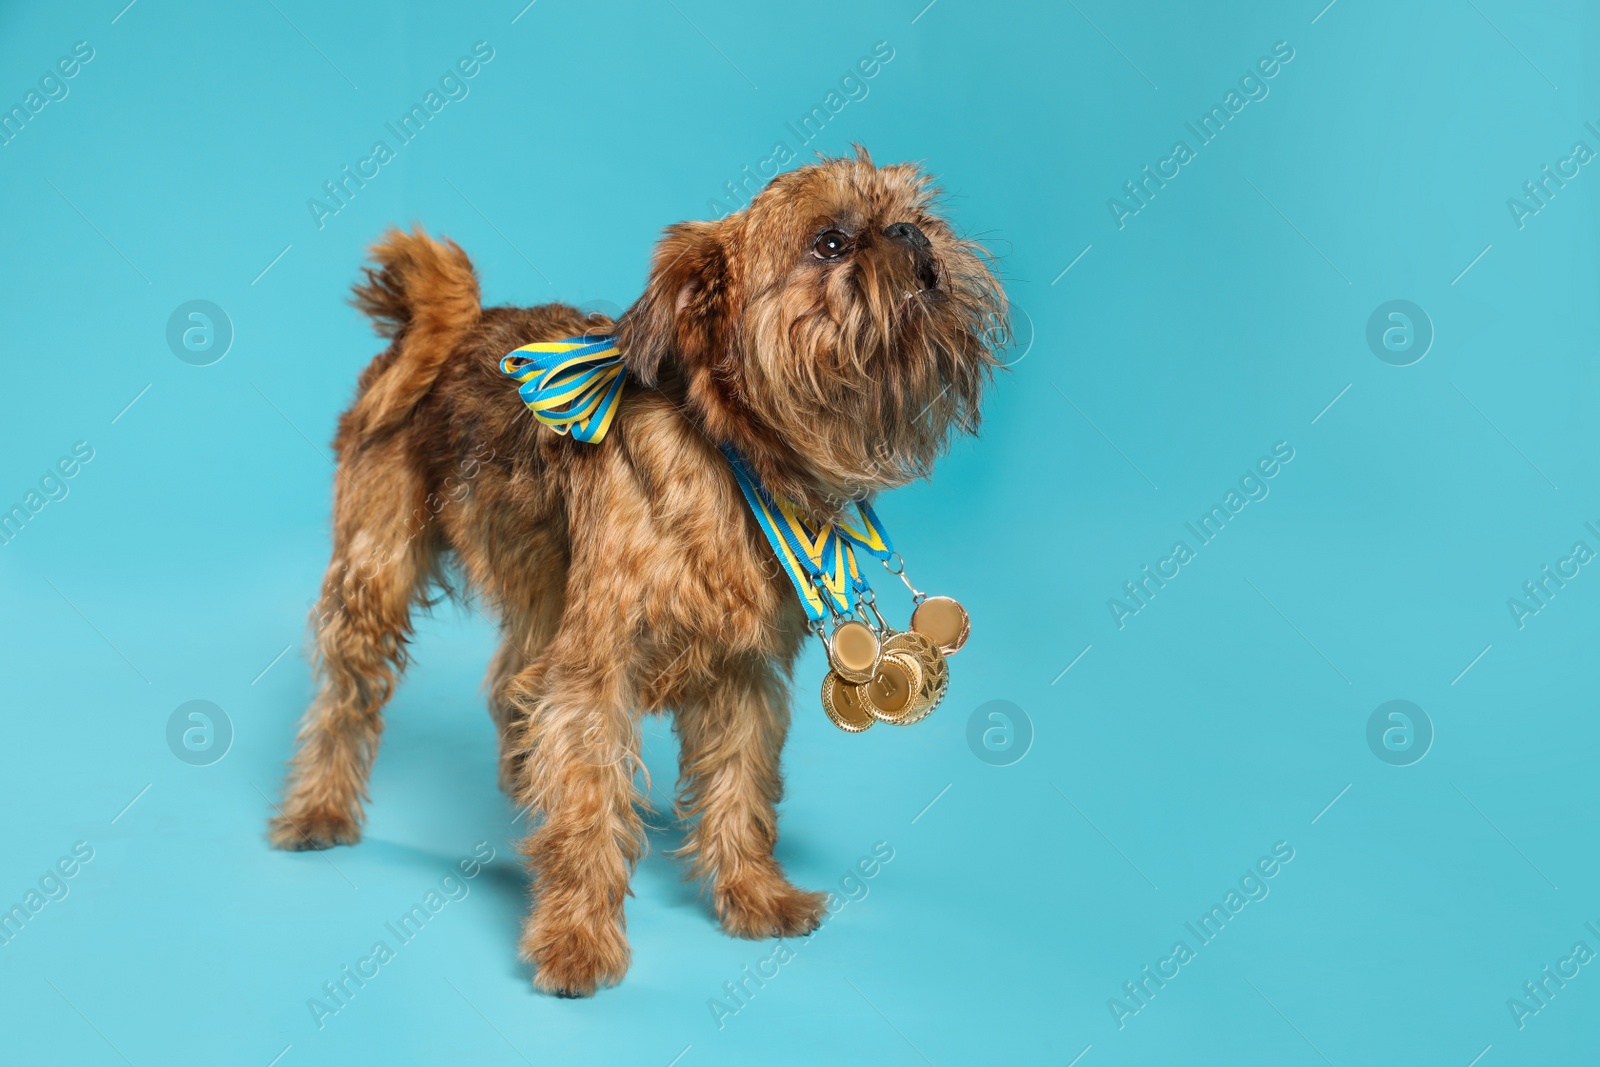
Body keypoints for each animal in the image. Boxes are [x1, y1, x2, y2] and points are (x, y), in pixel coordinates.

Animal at [268, 146, 1004, 998]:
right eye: (828, 243)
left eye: (911, 215)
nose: (910, 235)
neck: (727, 453)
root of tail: (442, 327)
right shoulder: (597, 669)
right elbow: (590, 804)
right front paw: (576, 938)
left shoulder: (742, 677)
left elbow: (739, 788)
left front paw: (753, 894)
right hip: (376, 571)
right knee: (347, 694)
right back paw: (319, 810)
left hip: (543, 590)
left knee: (511, 683)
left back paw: (524, 787)